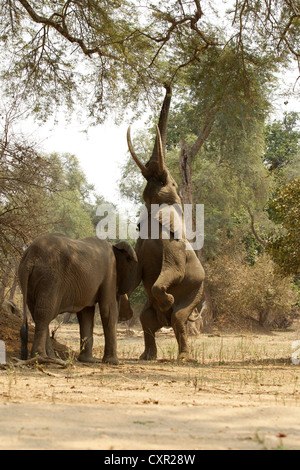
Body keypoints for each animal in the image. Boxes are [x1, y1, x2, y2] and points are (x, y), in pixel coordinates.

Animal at [17, 233, 137, 366]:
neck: (114, 246)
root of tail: (30, 258)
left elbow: (86, 314)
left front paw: (88, 361)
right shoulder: (110, 273)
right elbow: (108, 311)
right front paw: (113, 363)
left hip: (31, 279)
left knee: (38, 314)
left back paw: (50, 357)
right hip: (50, 278)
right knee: (44, 314)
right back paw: (41, 358)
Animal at [127, 84, 205, 360]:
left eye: (170, 183)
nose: (167, 84)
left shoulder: (174, 243)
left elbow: (173, 272)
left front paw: (169, 299)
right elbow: (135, 271)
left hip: (196, 292)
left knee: (180, 319)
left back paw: (184, 356)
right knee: (145, 320)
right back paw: (147, 356)